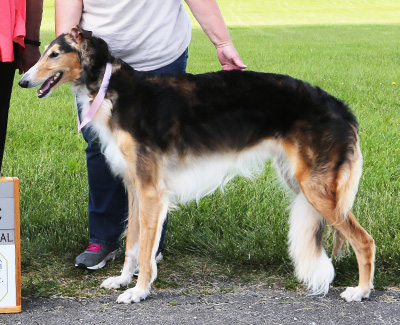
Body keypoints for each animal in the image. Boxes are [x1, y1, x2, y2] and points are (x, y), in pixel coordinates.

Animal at [19, 26, 376, 302]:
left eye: (55, 54)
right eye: (44, 52)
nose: (23, 81)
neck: (115, 91)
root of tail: (341, 108)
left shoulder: (151, 190)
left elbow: (145, 249)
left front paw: (139, 291)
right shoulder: (135, 186)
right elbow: (132, 243)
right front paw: (122, 280)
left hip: (315, 187)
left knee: (365, 240)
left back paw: (361, 291)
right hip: (304, 182)